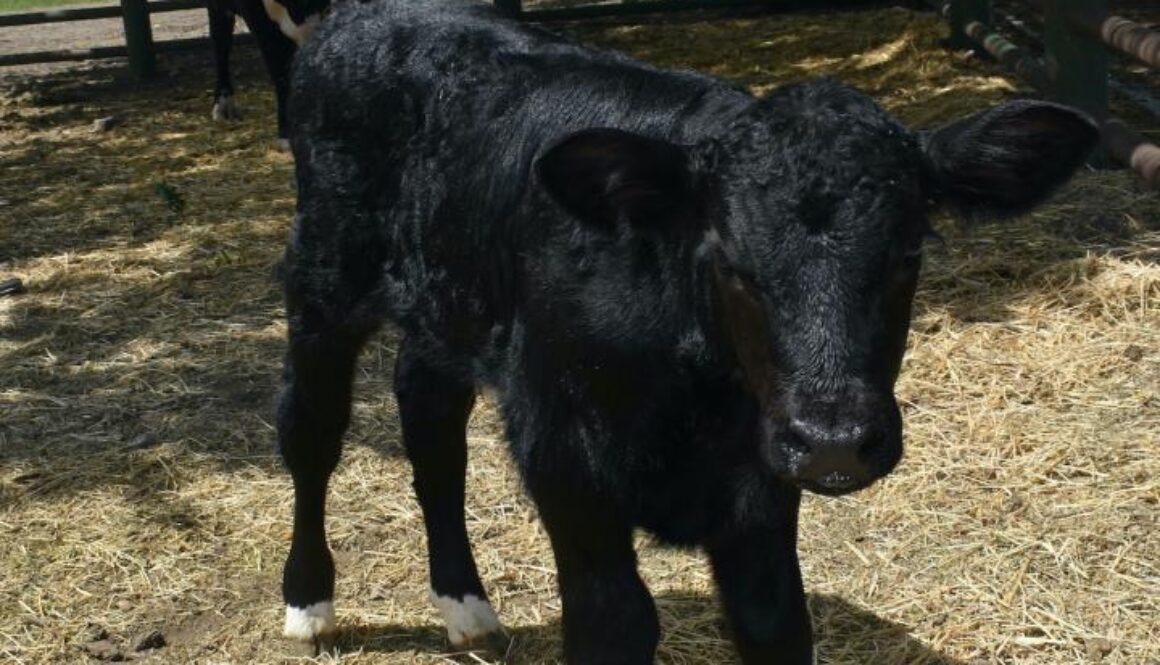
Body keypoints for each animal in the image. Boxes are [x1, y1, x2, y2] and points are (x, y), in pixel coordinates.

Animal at [274, 1, 1098, 662]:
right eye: (729, 260)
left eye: (909, 253)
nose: (834, 440)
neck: (695, 395)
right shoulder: (563, 455)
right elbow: (616, 622)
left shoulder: (761, 482)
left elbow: (775, 620)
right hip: (324, 277)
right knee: (313, 433)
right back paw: (309, 603)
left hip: (445, 301)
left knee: (430, 420)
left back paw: (465, 606)